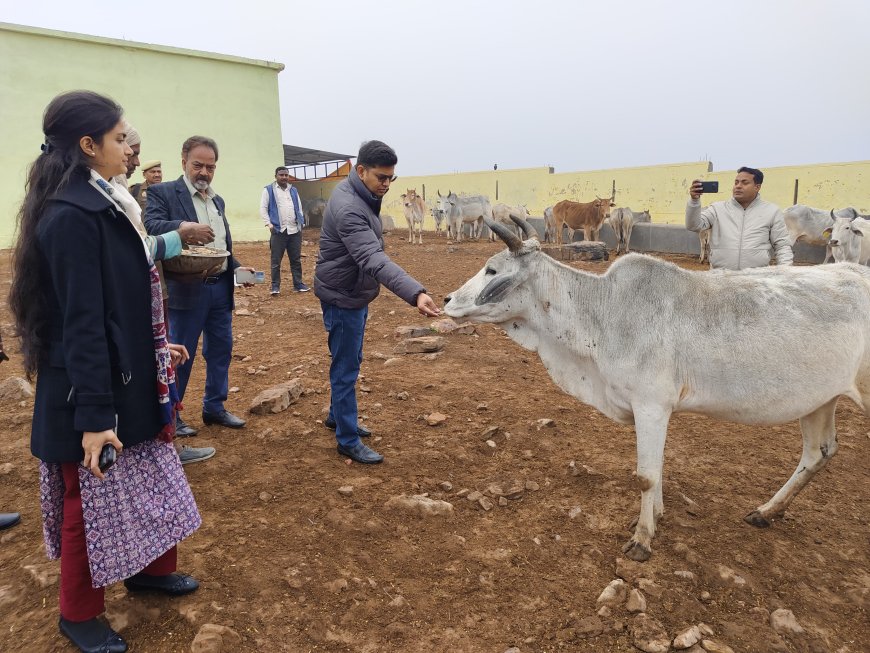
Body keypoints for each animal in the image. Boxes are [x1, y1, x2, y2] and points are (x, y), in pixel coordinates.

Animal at [446, 214, 870, 560]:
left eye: (492, 269)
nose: (448, 299)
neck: (603, 312)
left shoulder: (650, 405)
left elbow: (646, 475)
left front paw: (642, 538)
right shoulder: (655, 411)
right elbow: (659, 467)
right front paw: (659, 515)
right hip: (820, 398)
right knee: (818, 452)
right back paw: (767, 512)